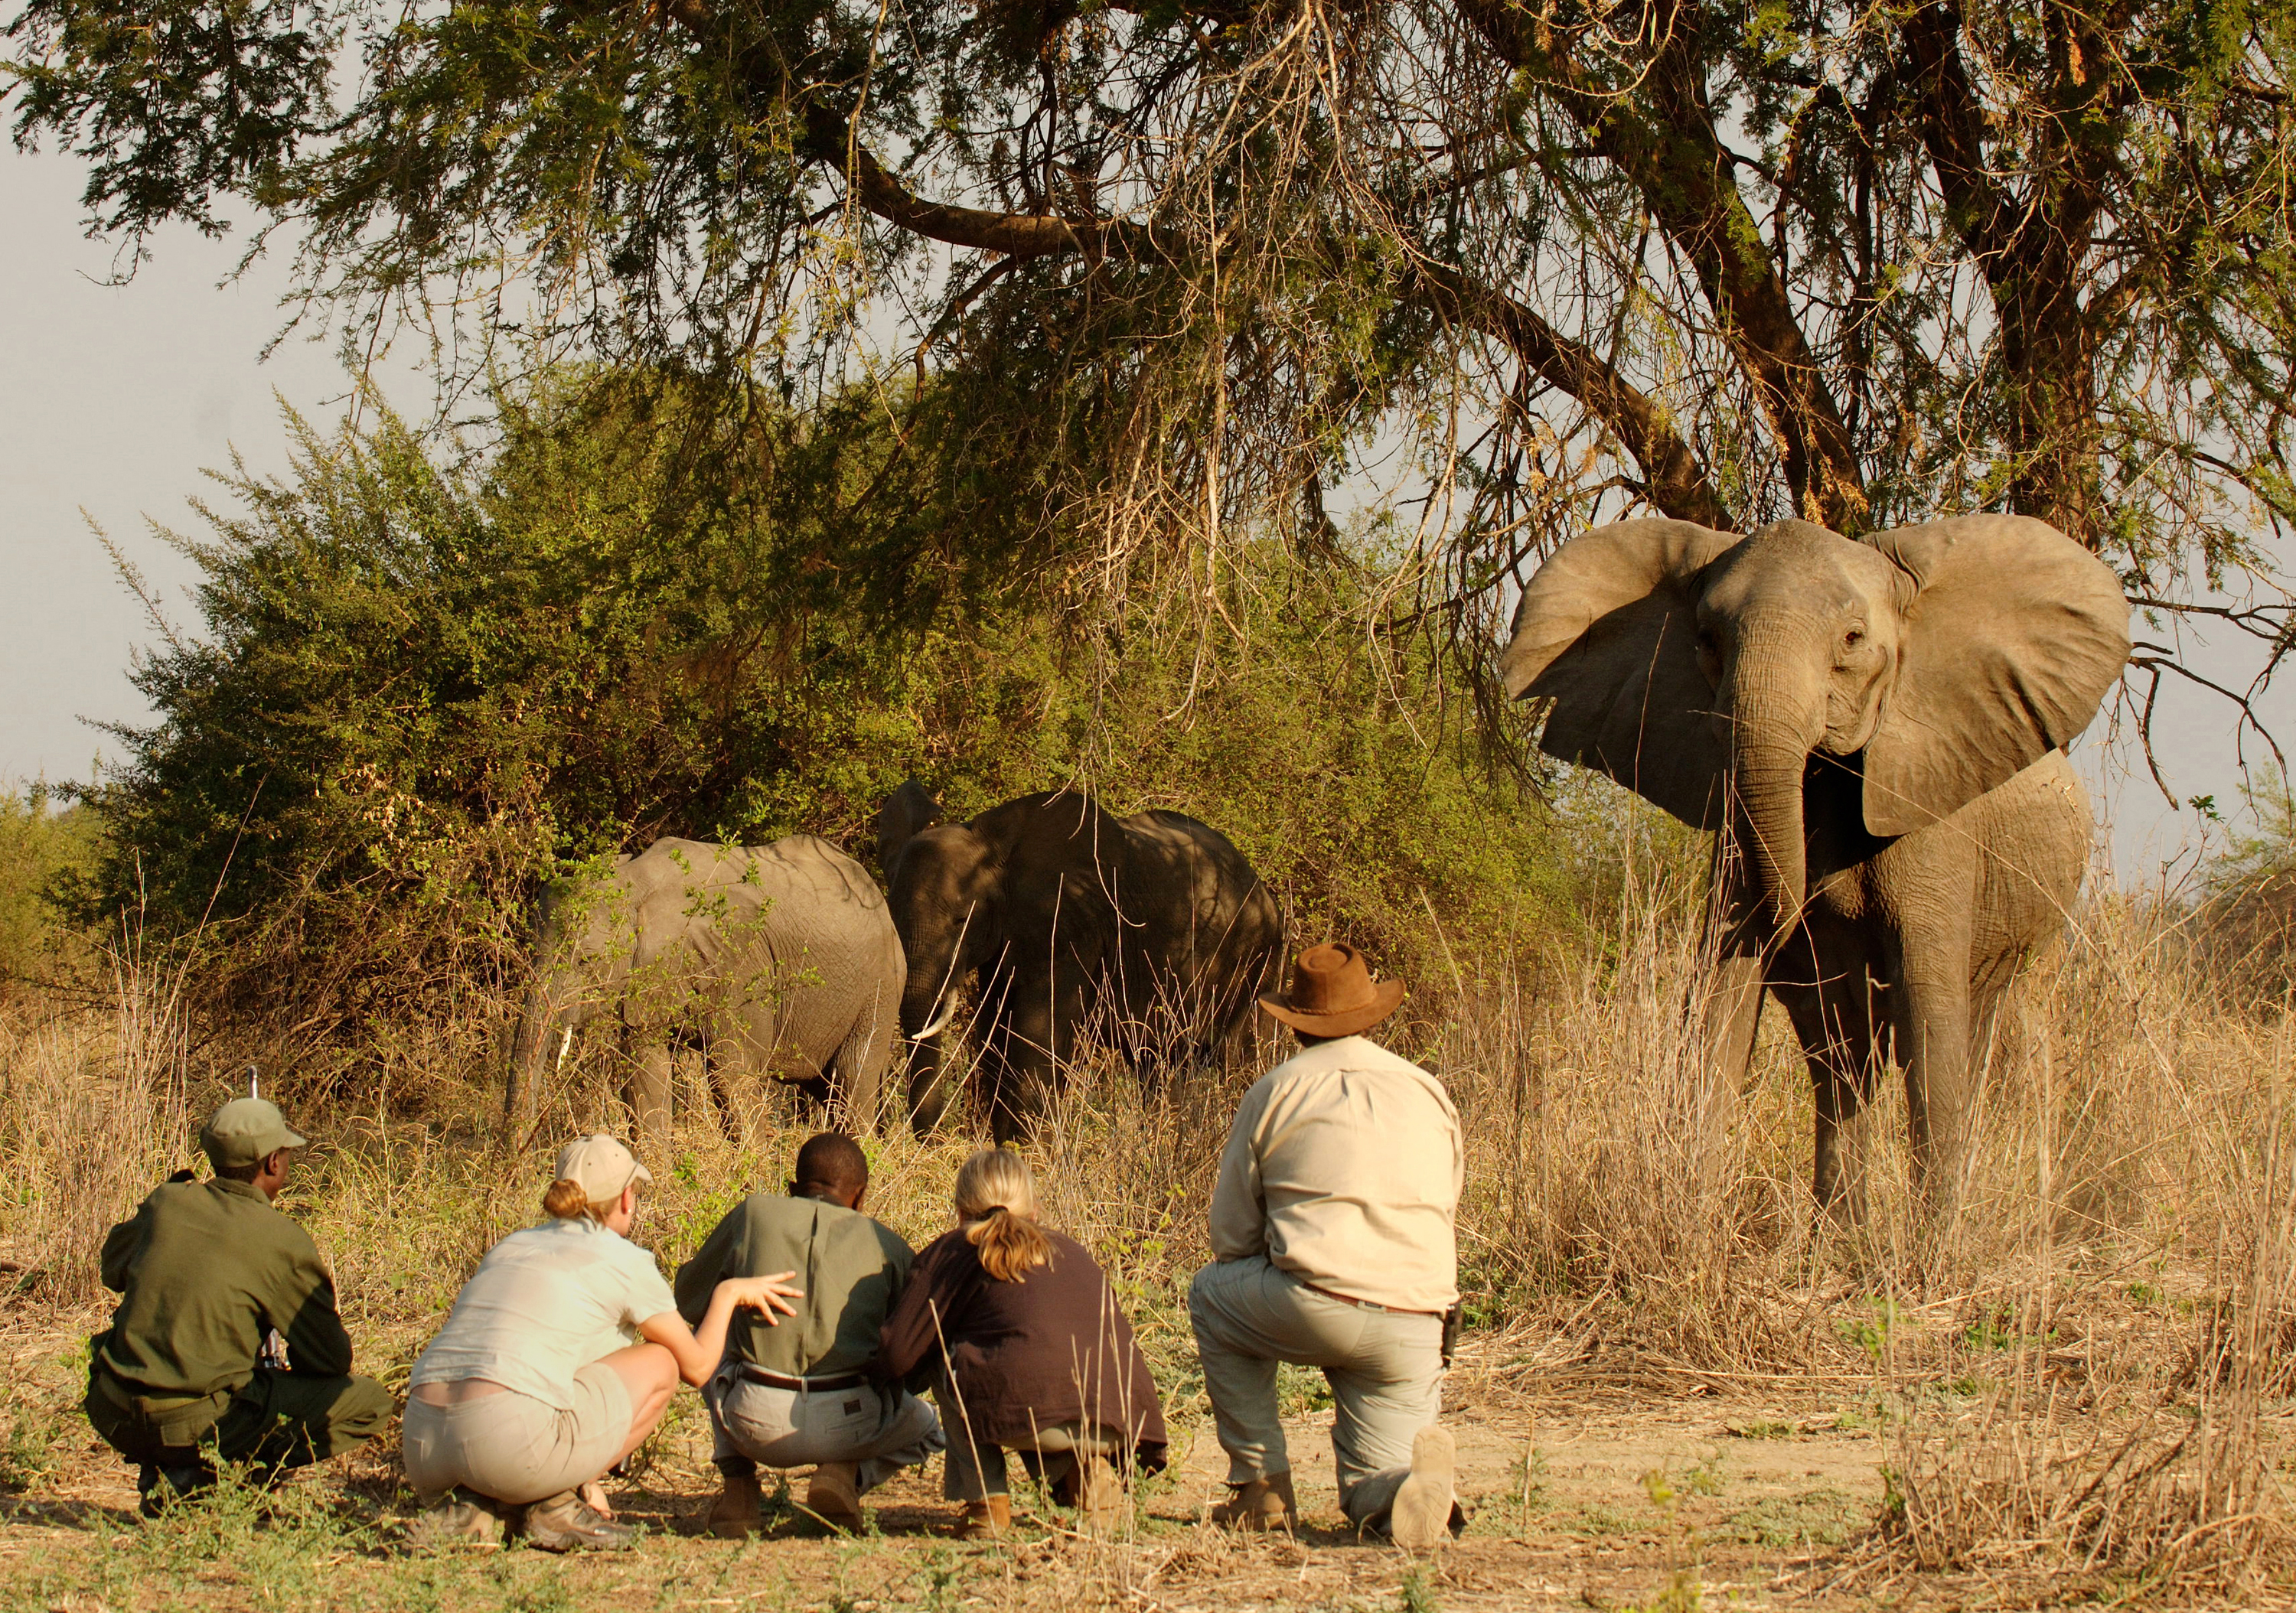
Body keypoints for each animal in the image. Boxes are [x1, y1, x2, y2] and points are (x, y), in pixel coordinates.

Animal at [503, 835, 905, 1147]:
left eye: (587, 961)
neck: (636, 881)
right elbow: (645, 1077)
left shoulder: (739, 963)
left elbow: (731, 1076)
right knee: (828, 1091)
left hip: (881, 986)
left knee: (852, 1085)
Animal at [872, 784, 1286, 1142]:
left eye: (962, 920)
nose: (933, 1144)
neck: (999, 852)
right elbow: (995, 1034)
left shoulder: (1072, 923)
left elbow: (1035, 1036)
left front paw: (1029, 1157)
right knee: (1160, 1066)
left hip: (1257, 963)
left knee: (1240, 1063)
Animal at [1497, 523, 2122, 1220]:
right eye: (1707, 640)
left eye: (1852, 639)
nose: (1800, 912)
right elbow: (1719, 1000)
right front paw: (1685, 1226)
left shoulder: (1936, 828)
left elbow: (1931, 1022)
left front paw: (1935, 1249)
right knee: (1842, 1060)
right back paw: (1841, 1237)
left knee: (1989, 1039)